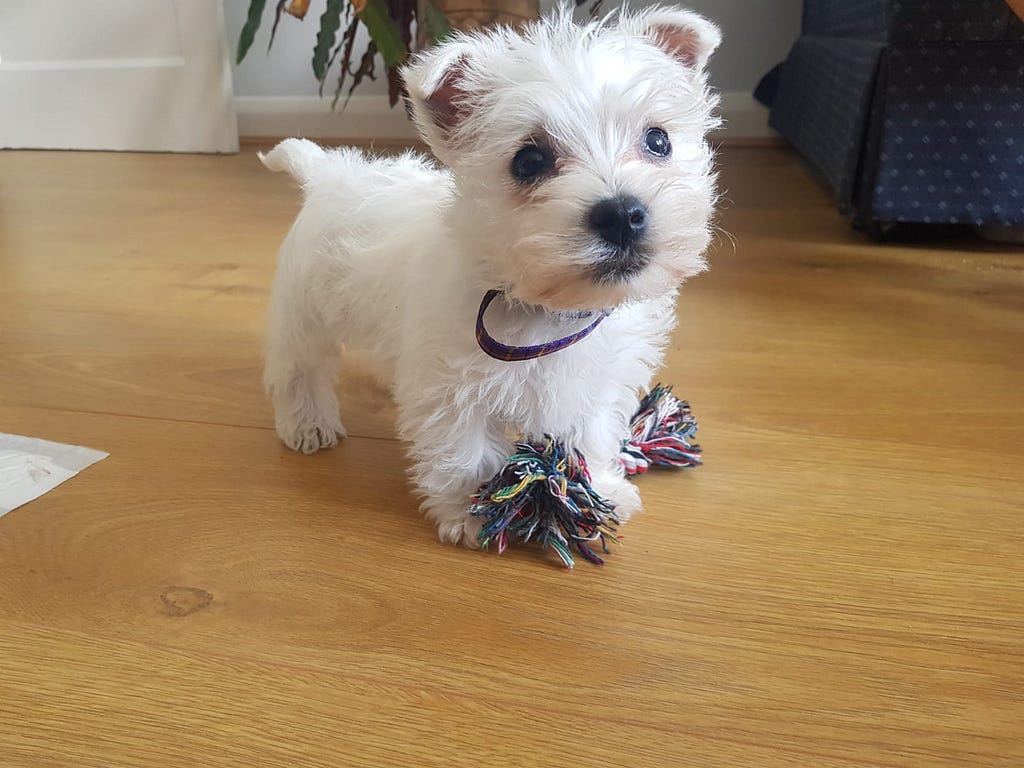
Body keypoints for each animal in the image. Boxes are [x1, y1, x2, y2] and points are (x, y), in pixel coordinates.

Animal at [262, 6, 720, 548]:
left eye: (658, 140)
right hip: (304, 310)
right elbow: (465, 452)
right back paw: (308, 425)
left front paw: (601, 492)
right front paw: (475, 512)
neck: (548, 310)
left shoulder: (596, 384)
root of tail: (327, 172)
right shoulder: (453, 391)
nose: (622, 214)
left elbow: (590, 435)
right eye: (530, 160)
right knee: (299, 369)